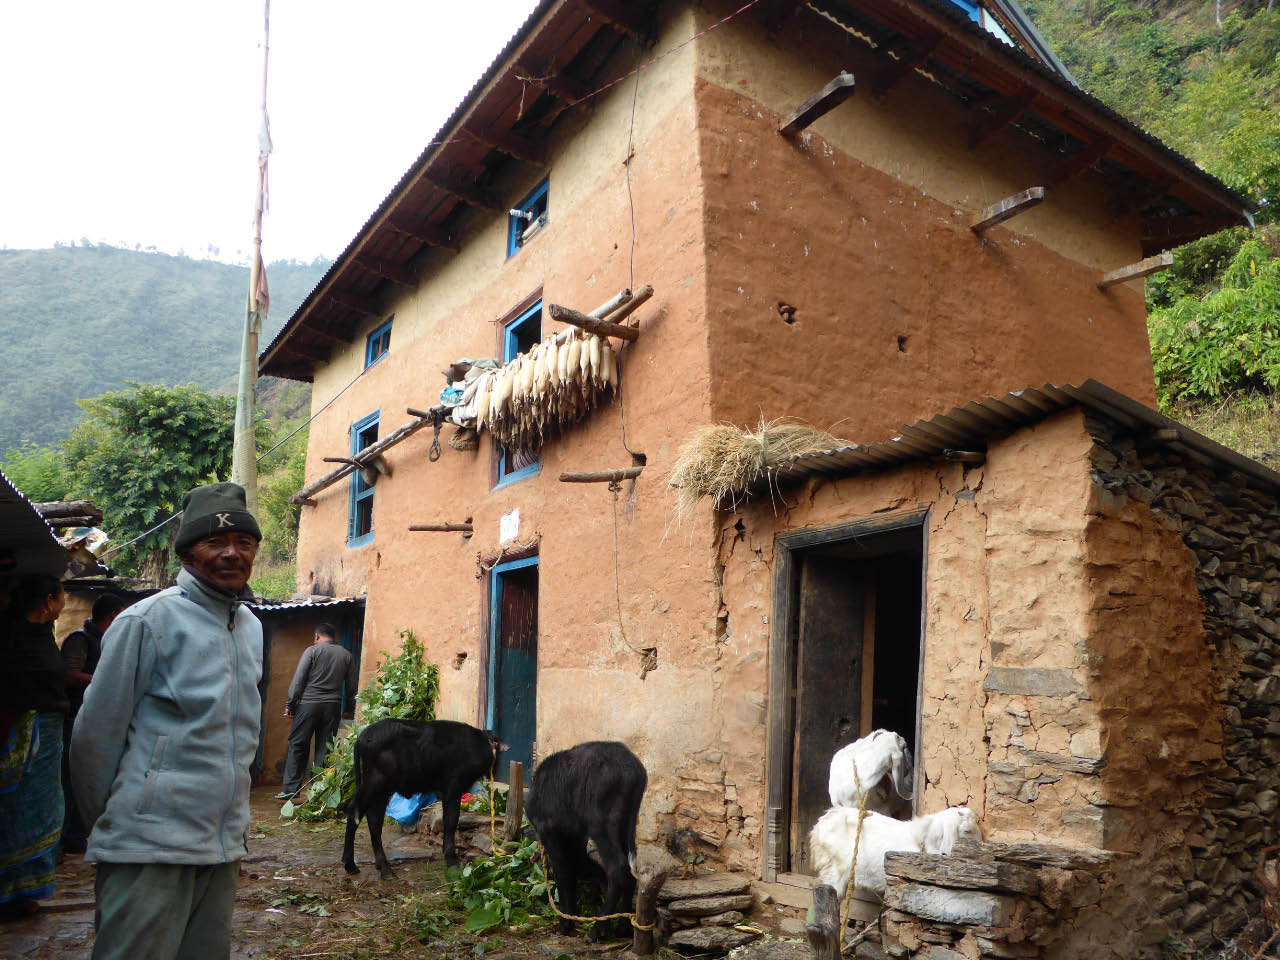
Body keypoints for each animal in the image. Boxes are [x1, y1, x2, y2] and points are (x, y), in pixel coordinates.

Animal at [345, 721, 504, 880]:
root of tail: (362, 737)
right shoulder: (453, 787)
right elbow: (451, 820)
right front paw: (452, 861)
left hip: (382, 790)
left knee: (373, 819)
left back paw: (380, 866)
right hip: (376, 783)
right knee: (356, 812)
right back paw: (357, 866)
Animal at [527, 742, 650, 942]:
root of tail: (633, 771)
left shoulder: (549, 831)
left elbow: (563, 871)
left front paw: (566, 923)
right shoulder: (575, 836)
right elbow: (578, 868)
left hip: (601, 825)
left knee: (617, 868)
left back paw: (598, 929)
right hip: (628, 824)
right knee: (629, 872)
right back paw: (623, 928)